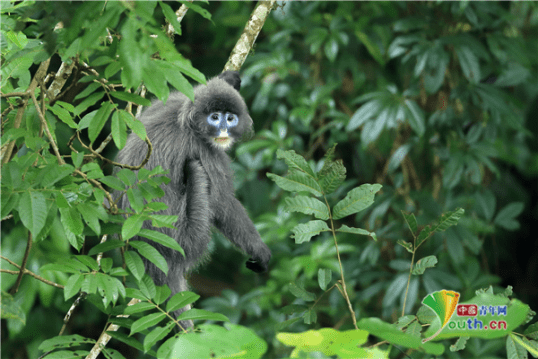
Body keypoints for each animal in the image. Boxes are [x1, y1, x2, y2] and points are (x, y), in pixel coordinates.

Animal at [114, 71, 270, 330]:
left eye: (230, 118)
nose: (223, 130)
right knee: (199, 179)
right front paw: (260, 250)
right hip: (188, 237)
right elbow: (224, 205)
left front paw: (228, 78)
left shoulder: (168, 102)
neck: (188, 123)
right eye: (215, 118)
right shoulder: (204, 152)